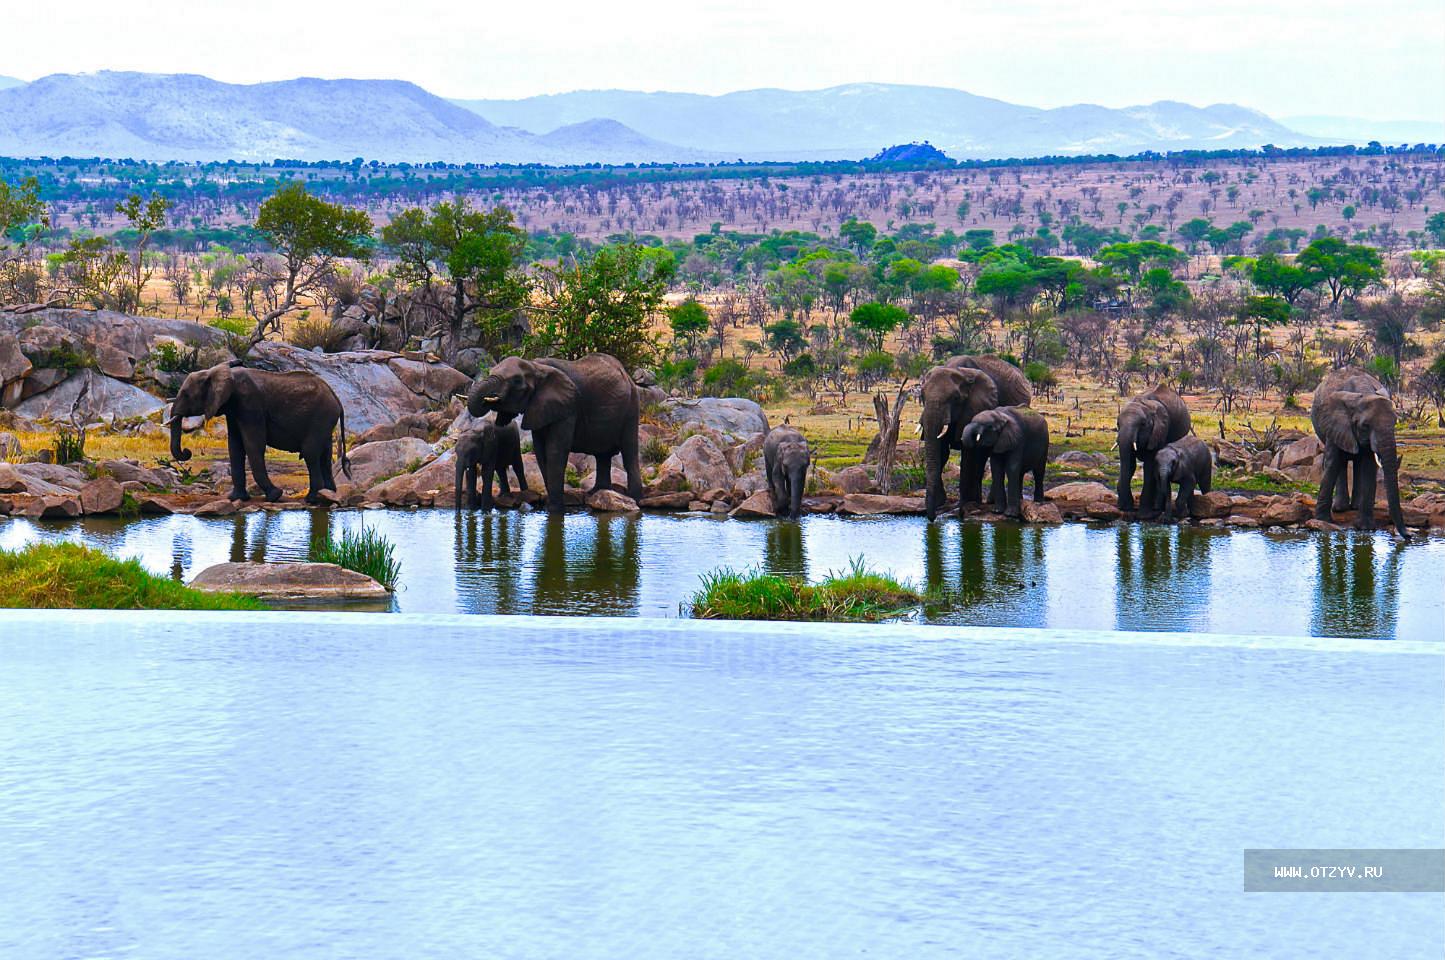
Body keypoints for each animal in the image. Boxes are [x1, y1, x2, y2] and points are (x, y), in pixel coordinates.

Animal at [165, 364, 349, 506]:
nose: (187, 452)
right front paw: (235, 498)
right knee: (325, 454)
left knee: (310, 453)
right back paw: (329, 494)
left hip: (321, 417)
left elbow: (253, 445)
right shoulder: (233, 410)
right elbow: (235, 447)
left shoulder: (249, 405)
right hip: (325, 421)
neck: (216, 371)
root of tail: (337, 399)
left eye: (186, 395)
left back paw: (312, 499)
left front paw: (274, 496)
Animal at [468, 352, 644, 514]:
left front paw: (555, 510)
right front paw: (552, 507)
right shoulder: (540, 408)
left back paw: (635, 498)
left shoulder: (568, 407)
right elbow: (541, 453)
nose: (488, 398)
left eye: (517, 381)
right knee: (603, 455)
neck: (535, 366)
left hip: (632, 406)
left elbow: (555, 451)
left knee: (629, 452)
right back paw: (597, 493)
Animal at [919, 354, 1034, 520]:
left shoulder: (976, 406)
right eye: (921, 395)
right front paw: (940, 503)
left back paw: (984, 501)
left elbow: (968, 454)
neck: (959, 370)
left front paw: (963, 506)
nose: (932, 518)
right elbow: (941, 451)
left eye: (955, 398)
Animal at [1115, 384, 1196, 517]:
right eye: (1117, 424)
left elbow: (1149, 466)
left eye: (1143, 424)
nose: (1125, 508)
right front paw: (1125, 507)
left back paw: (1157, 508)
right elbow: (1129, 464)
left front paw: (1144, 515)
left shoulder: (1159, 432)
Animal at [1317, 365, 1404, 534]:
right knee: (1341, 463)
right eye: (1365, 426)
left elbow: (1369, 467)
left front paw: (1365, 528)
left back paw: (1355, 507)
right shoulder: (1335, 424)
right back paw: (1340, 509)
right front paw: (1322, 521)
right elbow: (1332, 464)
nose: (1408, 537)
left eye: (1395, 423)